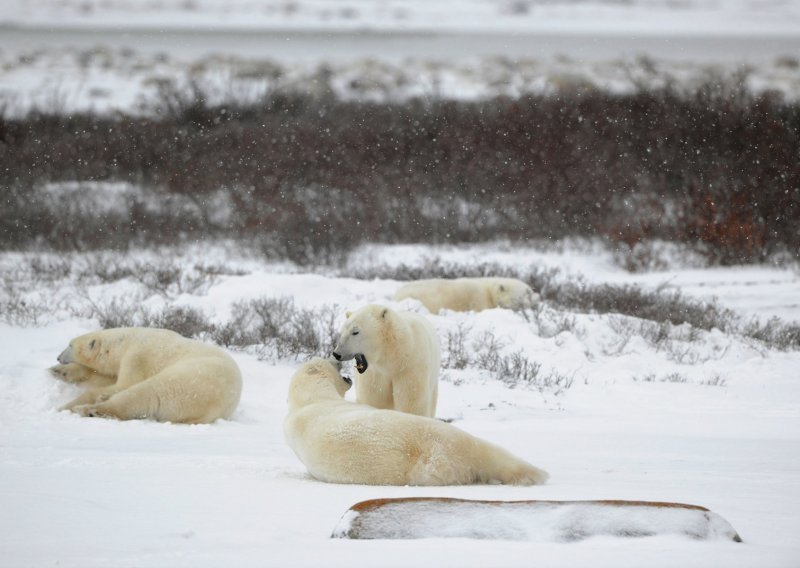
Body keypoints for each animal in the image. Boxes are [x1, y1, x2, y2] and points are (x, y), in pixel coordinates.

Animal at [48, 326, 242, 424]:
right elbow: (102, 376)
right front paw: (58, 371)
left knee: (146, 393)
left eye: (70, 345)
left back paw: (86, 409)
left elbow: (124, 383)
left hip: (189, 381)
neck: (127, 341)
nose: (58, 357)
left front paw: (68, 404)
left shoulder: (137, 356)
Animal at [282, 358, 552, 486]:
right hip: (443, 441)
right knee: (487, 449)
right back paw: (534, 472)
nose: (336, 357)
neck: (309, 400)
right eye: (327, 360)